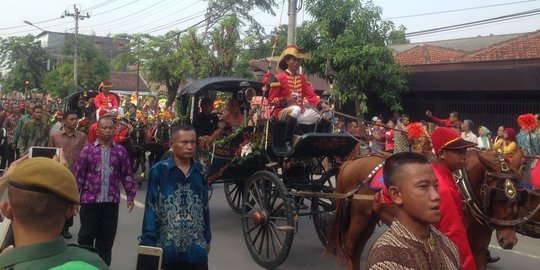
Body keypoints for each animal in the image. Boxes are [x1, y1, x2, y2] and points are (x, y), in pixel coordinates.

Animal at [324, 149, 524, 268]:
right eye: (497, 194)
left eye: (518, 194)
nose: (509, 240)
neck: (464, 191)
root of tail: (351, 162)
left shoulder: (478, 248)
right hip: (360, 215)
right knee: (349, 246)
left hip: (370, 218)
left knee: (357, 248)